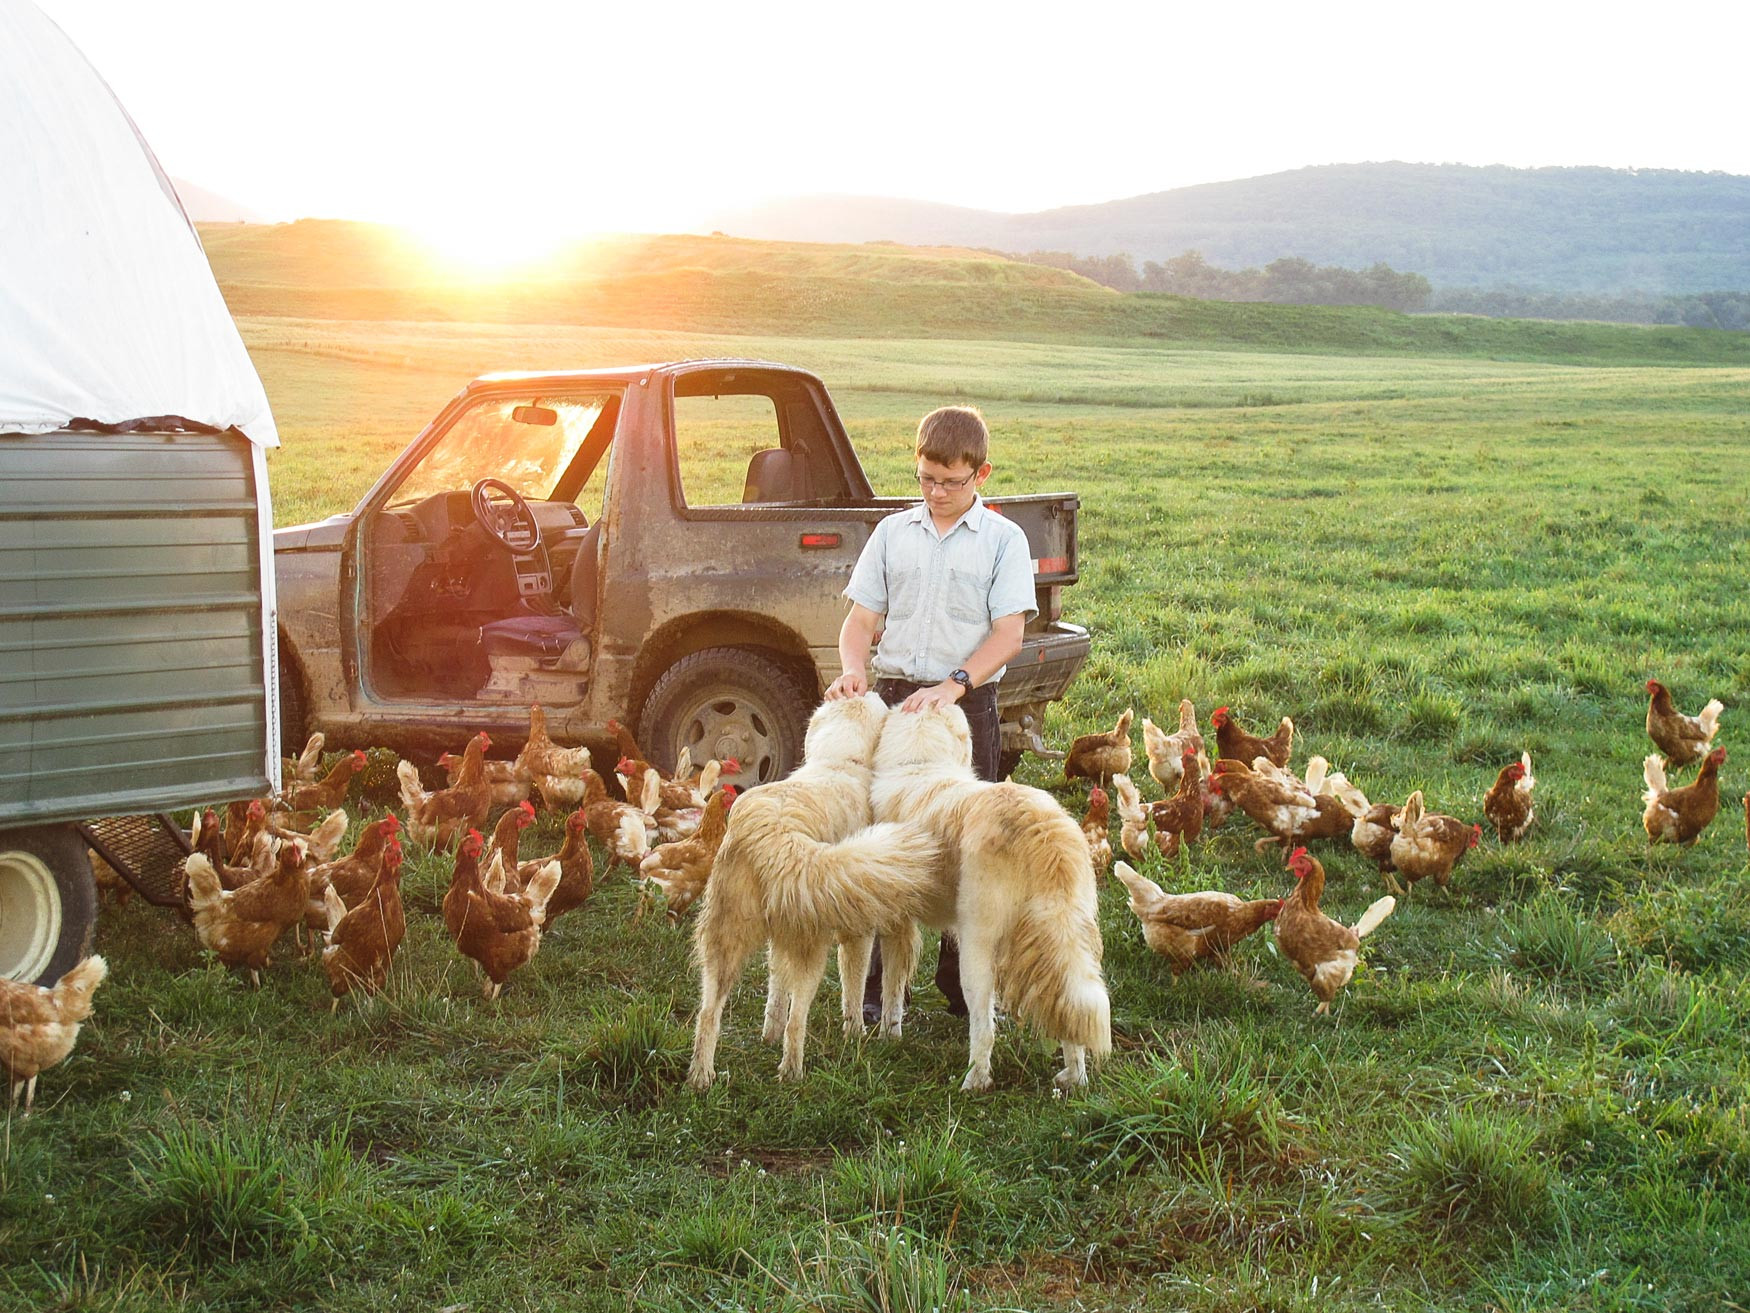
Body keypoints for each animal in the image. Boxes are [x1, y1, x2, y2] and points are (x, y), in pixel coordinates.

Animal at [682, 693, 945, 1092]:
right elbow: (853, 984)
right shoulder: (856, 931)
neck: (838, 761)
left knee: (709, 1011)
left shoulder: (781, 932)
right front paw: (855, 1034)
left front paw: (767, 1034)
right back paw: (792, 1073)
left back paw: (701, 1076)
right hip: (811, 945)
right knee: (798, 1018)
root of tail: (776, 832)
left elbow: (776, 987)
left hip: (724, 936)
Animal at [871, 703, 1106, 1092]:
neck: (920, 763)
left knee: (984, 1028)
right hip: (1064, 936)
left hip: (977, 950)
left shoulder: (897, 924)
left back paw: (974, 1080)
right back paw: (1075, 1076)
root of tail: (1039, 827)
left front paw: (889, 1037)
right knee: (1068, 1005)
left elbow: (891, 986)